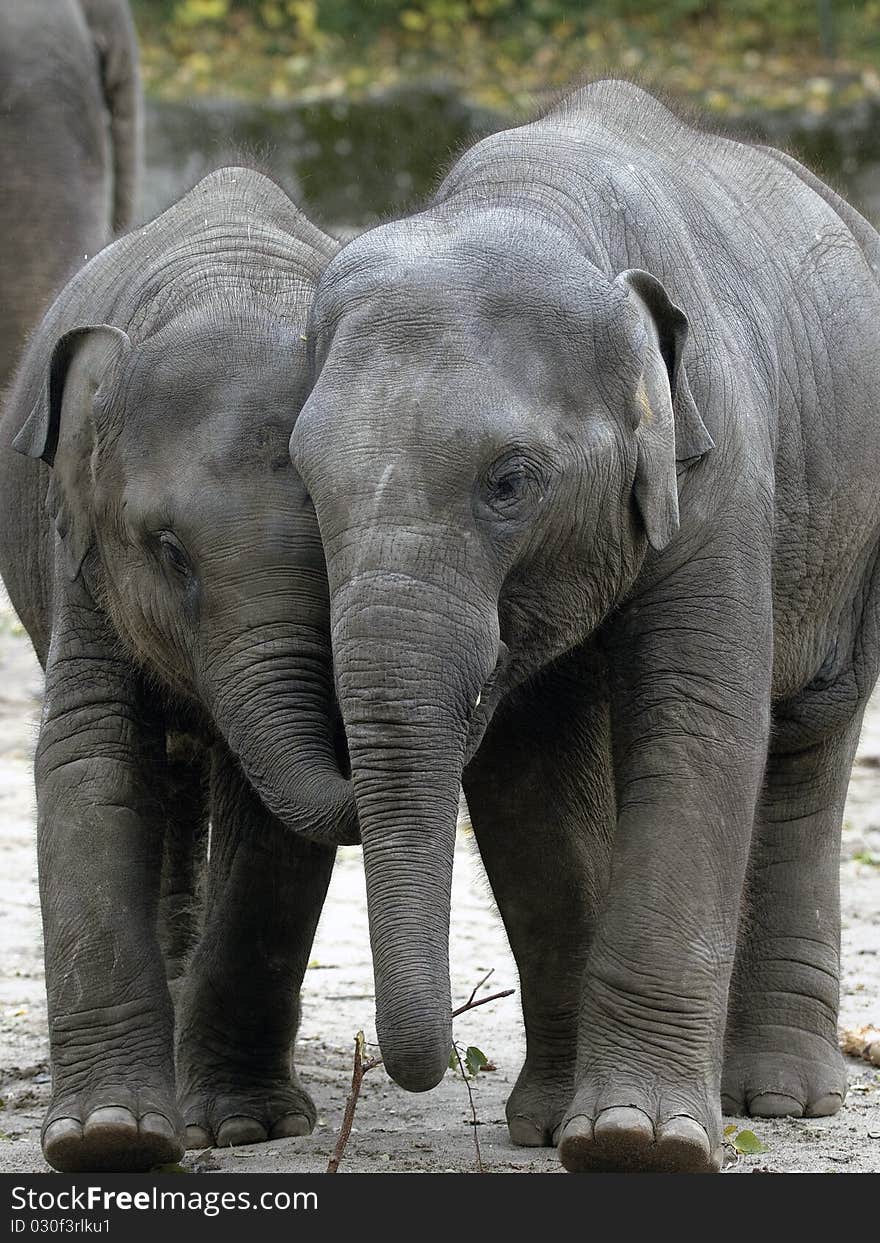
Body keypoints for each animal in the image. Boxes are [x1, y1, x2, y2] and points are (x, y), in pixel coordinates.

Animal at [0, 167, 357, 1173]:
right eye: (167, 550)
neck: (232, 284)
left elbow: (270, 822)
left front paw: (241, 1128)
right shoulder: (81, 555)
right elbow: (91, 766)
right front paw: (108, 1138)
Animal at [292, 80, 879, 1173]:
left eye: (510, 482)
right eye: (301, 483)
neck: (540, 204)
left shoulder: (719, 457)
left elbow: (696, 717)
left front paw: (636, 1141)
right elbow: (530, 774)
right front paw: (553, 1124)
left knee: (808, 741)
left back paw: (777, 1097)